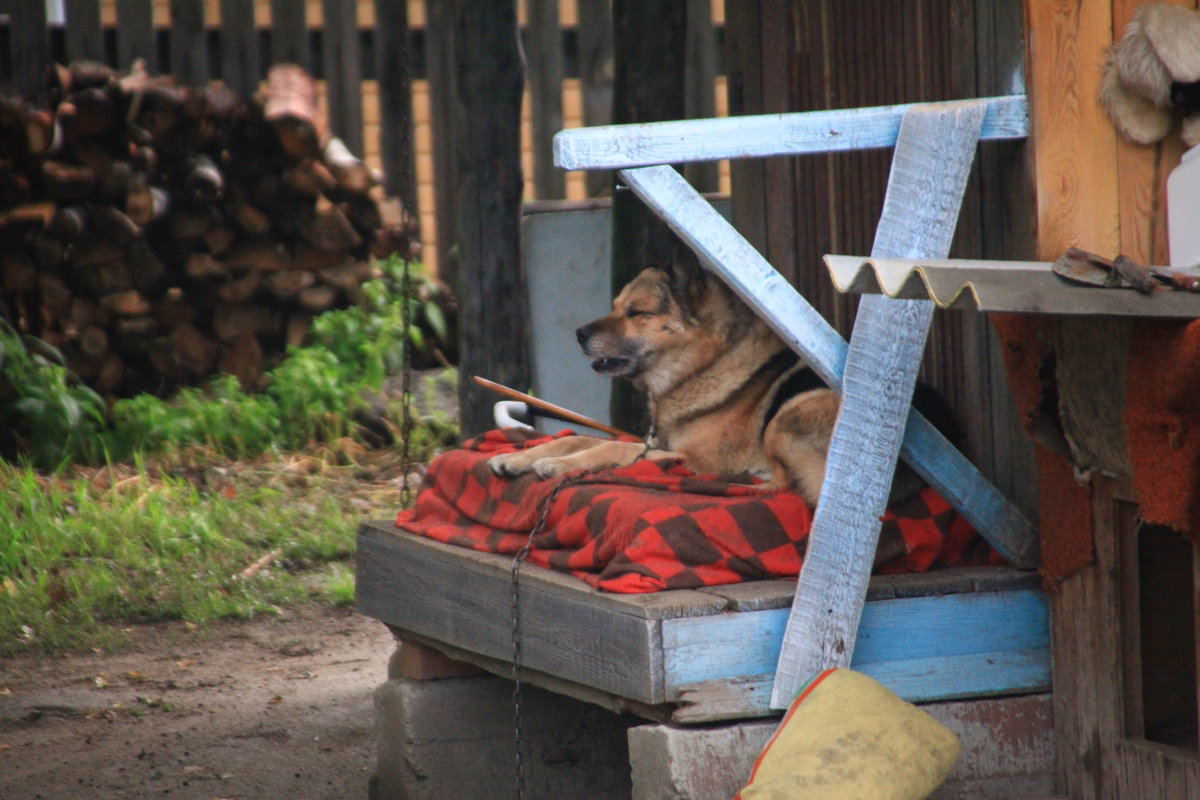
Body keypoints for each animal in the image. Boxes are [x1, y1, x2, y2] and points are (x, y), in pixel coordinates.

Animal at [484, 262, 955, 506]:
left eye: (637, 313)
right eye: (615, 307)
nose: (579, 334)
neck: (699, 368)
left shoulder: (695, 455)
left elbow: (609, 448)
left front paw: (557, 465)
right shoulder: (654, 440)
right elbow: (576, 439)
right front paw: (522, 457)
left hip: (792, 411)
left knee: (784, 484)